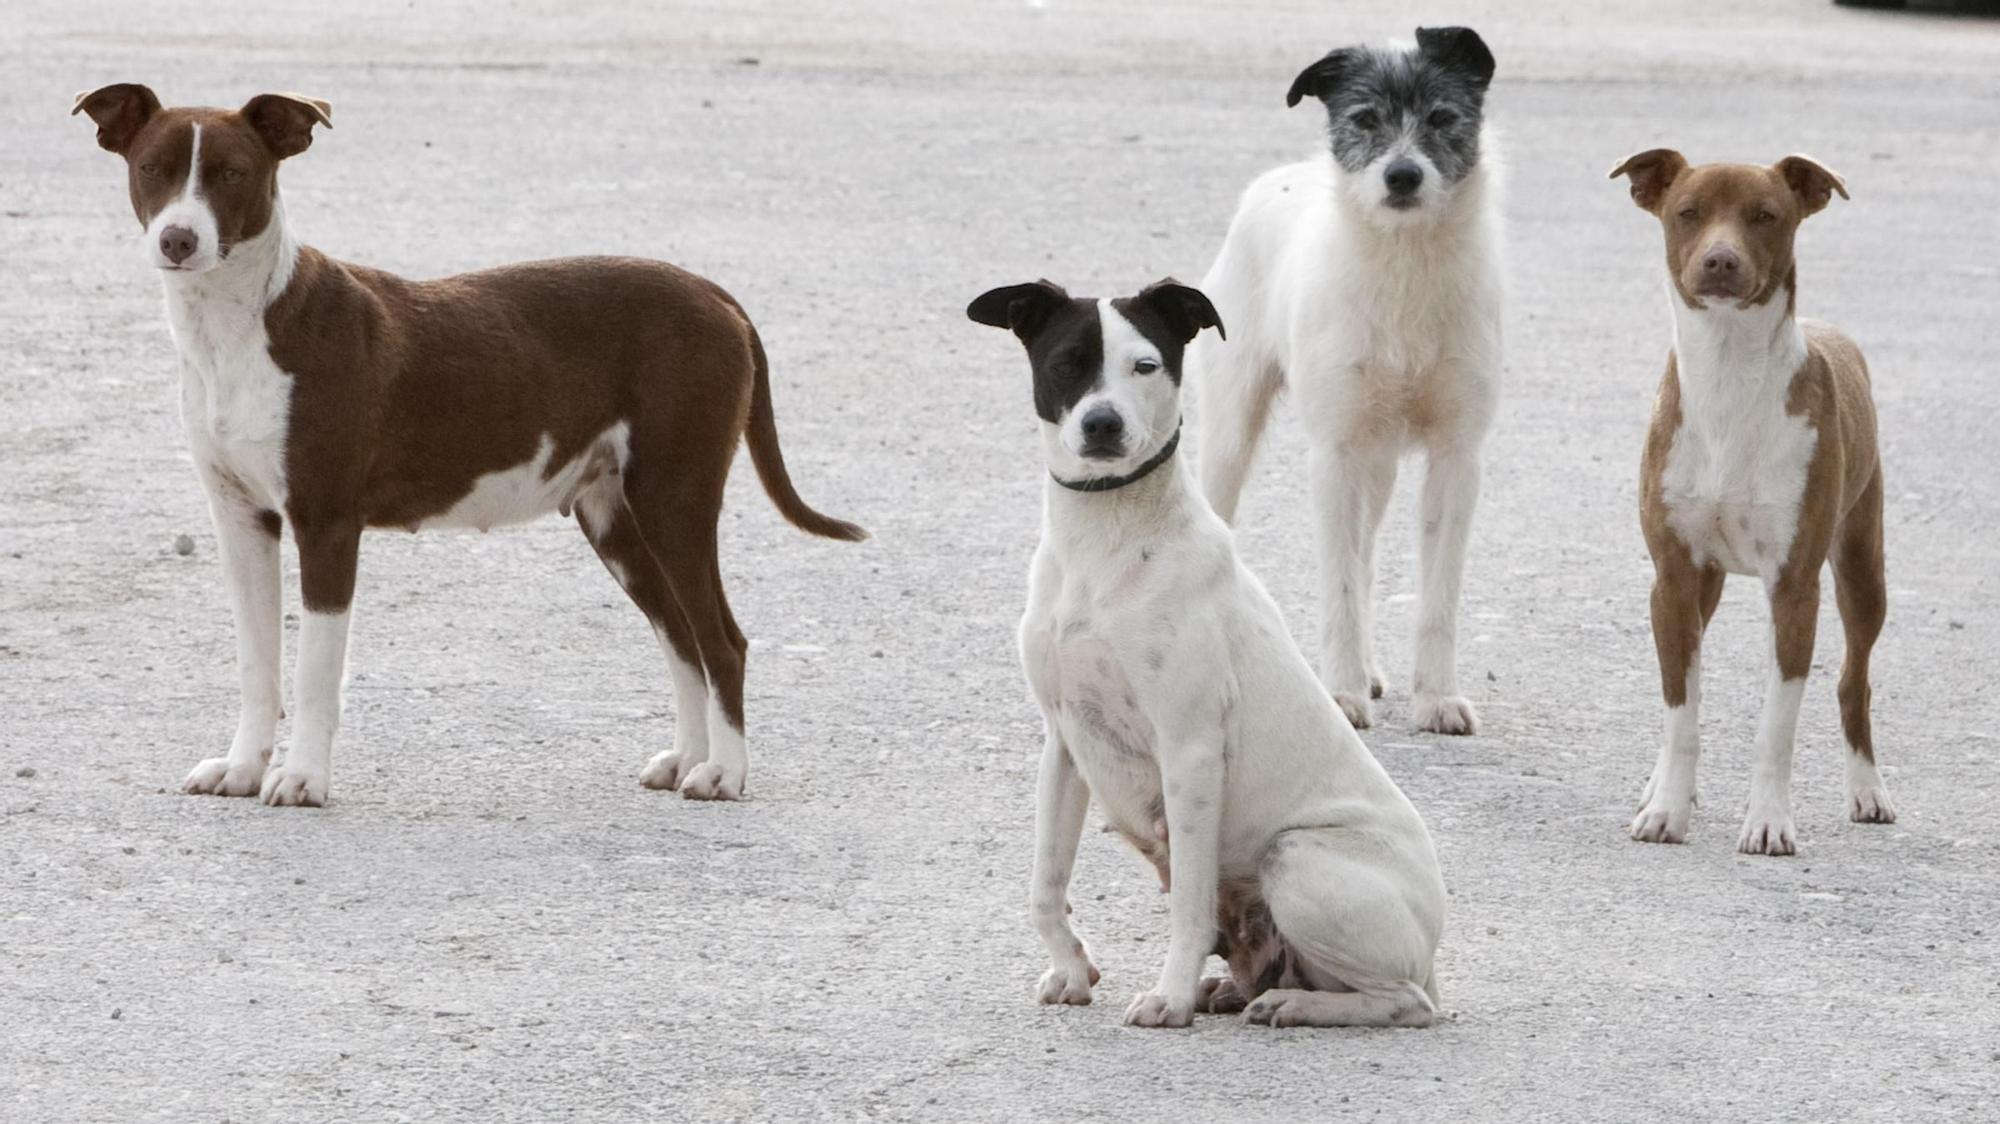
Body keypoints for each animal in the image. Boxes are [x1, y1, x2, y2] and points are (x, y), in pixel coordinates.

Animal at [72, 85, 868, 804]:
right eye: (152, 169)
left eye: (233, 174)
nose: (178, 239)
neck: (239, 326)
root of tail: (714, 293)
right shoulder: (241, 523)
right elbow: (258, 664)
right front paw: (241, 769)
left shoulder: (326, 524)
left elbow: (314, 672)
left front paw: (301, 779)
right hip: (617, 520)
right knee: (681, 637)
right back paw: (688, 759)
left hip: (674, 498)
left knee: (721, 642)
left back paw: (724, 774)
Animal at [964, 274, 1440, 1024]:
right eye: (1067, 362)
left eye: (1145, 366)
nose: (1102, 424)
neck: (1105, 537)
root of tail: (1435, 944)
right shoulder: (1066, 745)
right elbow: (1045, 886)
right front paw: (1071, 968)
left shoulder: (1189, 751)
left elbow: (1189, 901)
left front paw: (1171, 996)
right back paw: (1243, 988)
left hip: (1295, 858)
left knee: (1405, 1000)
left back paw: (1292, 1005)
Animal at [1184, 26, 1504, 736]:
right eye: (1363, 119)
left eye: (1441, 117)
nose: (1402, 175)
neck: (1404, 263)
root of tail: (1278, 180)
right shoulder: (1333, 456)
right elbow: (1339, 583)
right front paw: (1340, 695)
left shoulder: (1458, 458)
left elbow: (1435, 595)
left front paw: (1435, 696)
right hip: (1233, 434)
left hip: (1377, 464)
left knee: (1367, 550)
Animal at [1608, 147, 1888, 848]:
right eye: (1687, 213)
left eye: (1765, 215)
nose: (1720, 260)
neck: (1728, 377)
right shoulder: (1673, 578)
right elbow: (1681, 709)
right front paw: (1667, 809)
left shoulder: (1794, 588)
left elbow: (1776, 726)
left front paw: (1767, 823)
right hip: (1702, 587)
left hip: (1862, 567)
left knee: (1854, 680)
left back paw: (1868, 791)